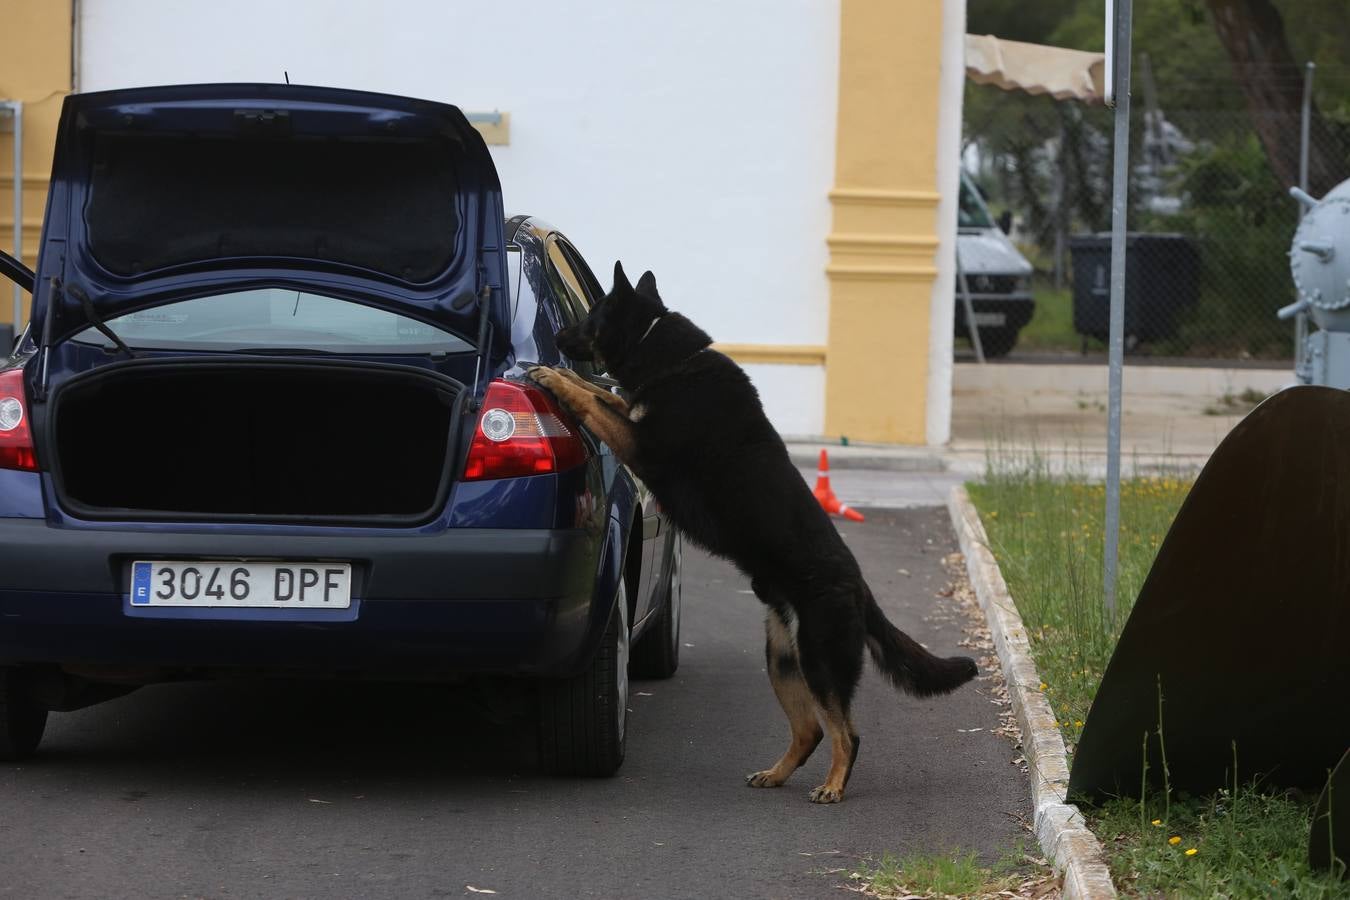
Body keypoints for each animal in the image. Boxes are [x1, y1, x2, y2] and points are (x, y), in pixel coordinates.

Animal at [526, 260, 982, 804]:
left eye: (591, 314)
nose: (555, 337)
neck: (667, 356)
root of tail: (860, 587)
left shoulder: (641, 444)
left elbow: (595, 401)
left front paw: (557, 379)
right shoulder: (633, 418)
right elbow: (604, 393)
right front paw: (565, 375)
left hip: (821, 660)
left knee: (846, 733)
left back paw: (833, 786)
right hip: (783, 660)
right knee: (809, 731)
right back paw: (777, 773)